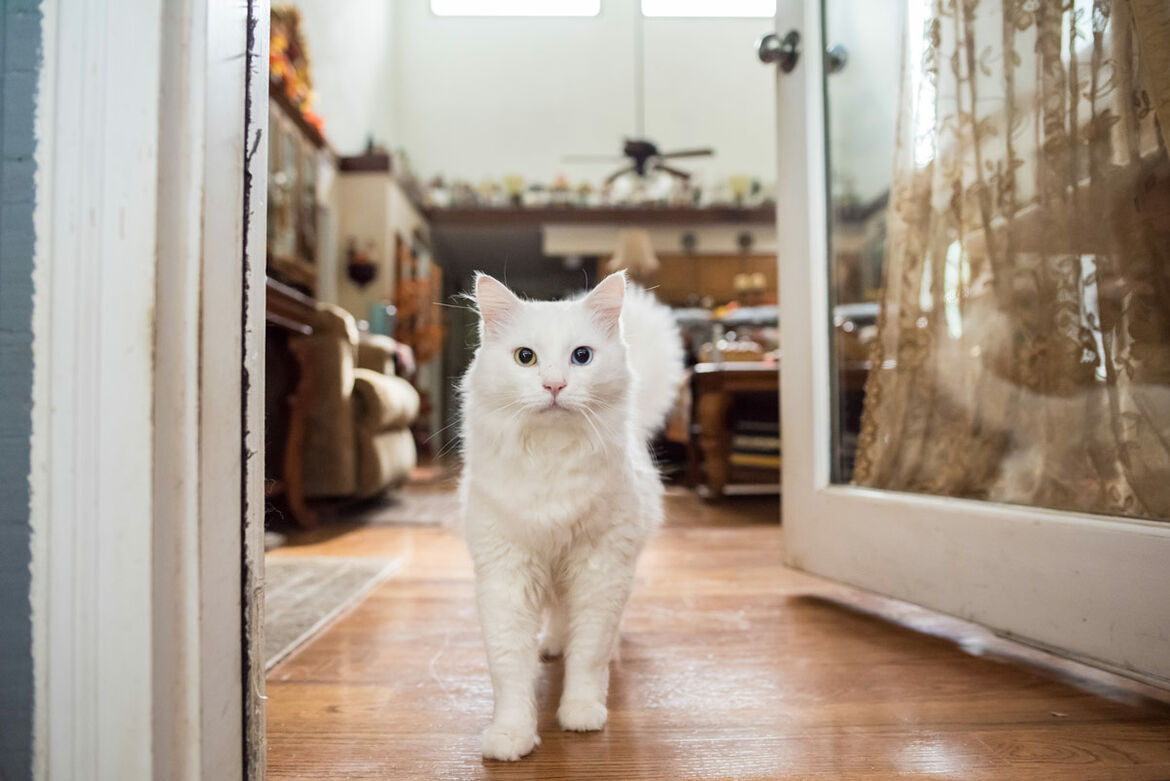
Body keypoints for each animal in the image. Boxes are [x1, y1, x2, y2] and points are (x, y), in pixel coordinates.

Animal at [458, 271, 683, 757]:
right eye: (525, 357)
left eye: (582, 356)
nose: (555, 386)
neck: (551, 458)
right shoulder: (506, 574)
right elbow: (509, 669)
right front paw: (511, 736)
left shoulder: (601, 569)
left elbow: (589, 654)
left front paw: (581, 712)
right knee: (560, 619)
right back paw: (551, 646)